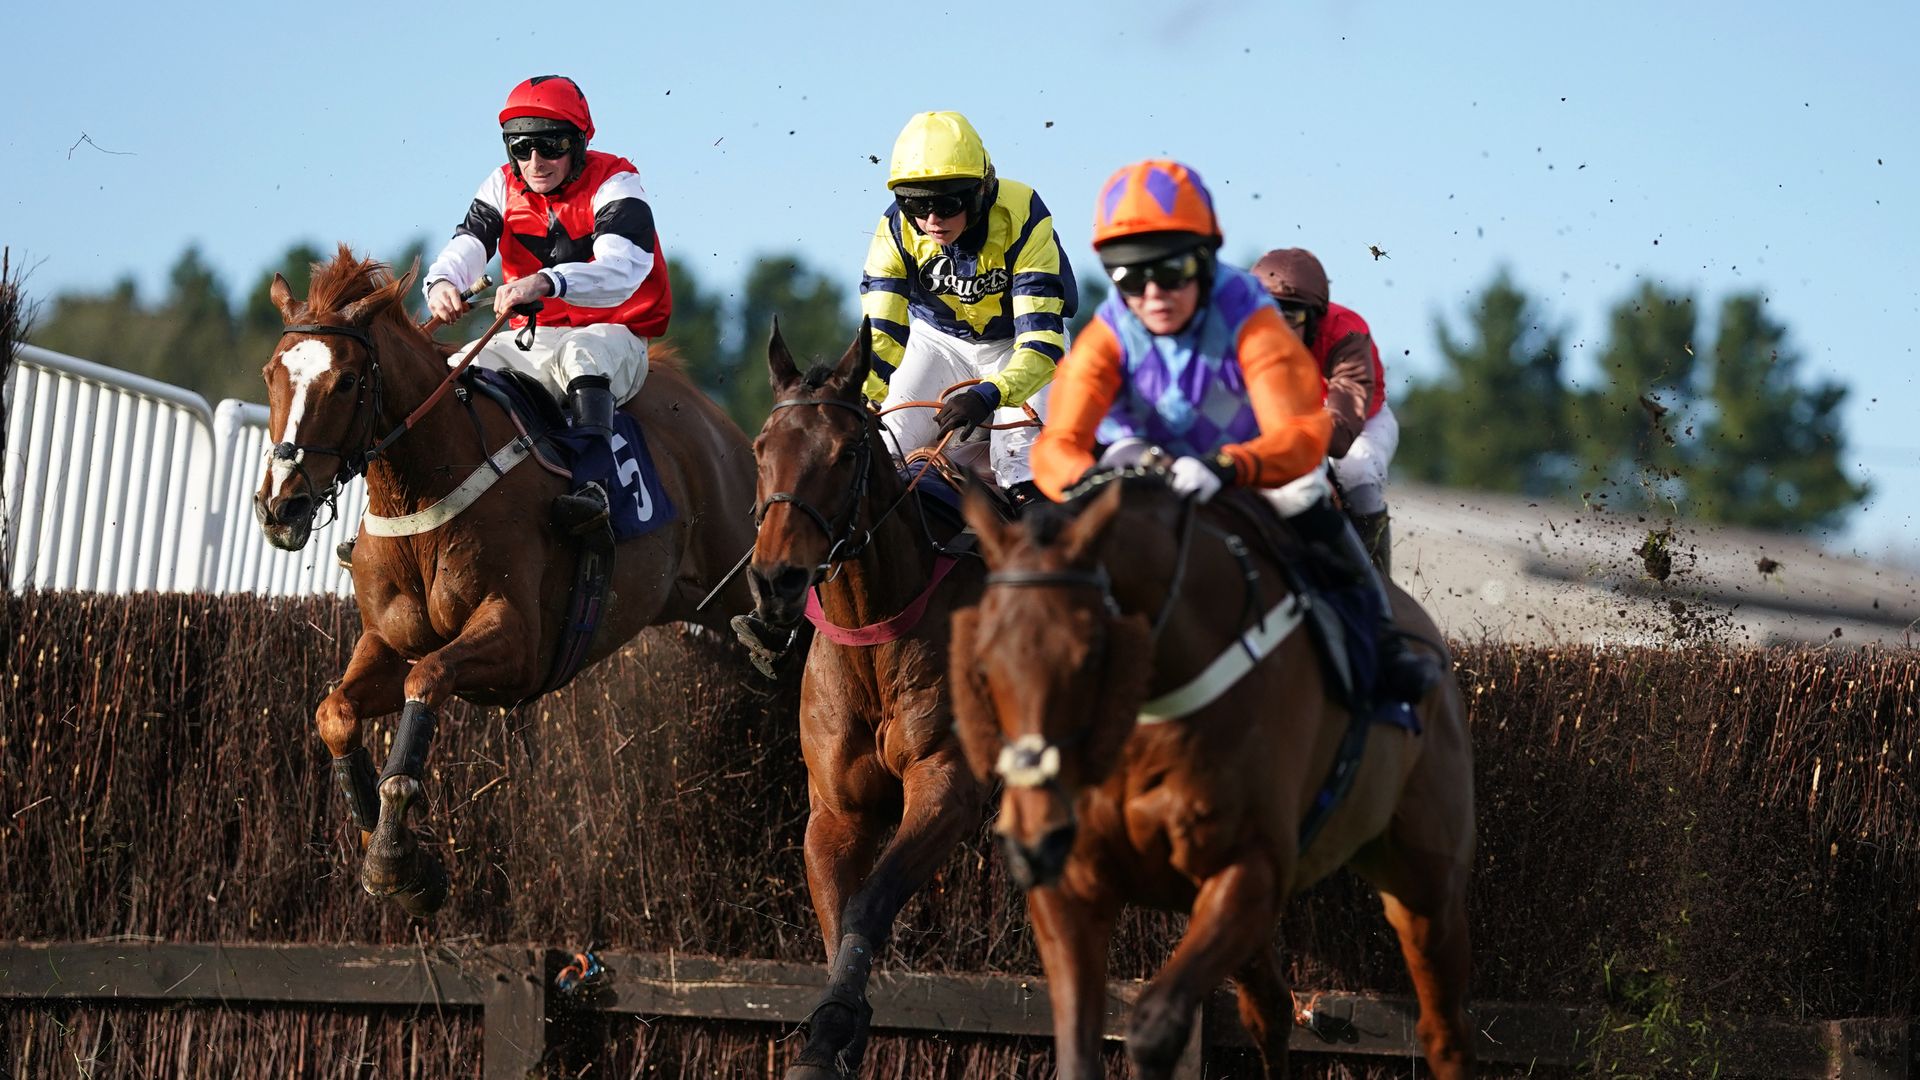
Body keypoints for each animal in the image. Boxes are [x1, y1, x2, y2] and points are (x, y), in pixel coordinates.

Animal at [257, 245, 764, 914]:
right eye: (270, 374)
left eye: (345, 381)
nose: (280, 506)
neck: (427, 492)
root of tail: (712, 416)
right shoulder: (387, 639)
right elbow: (334, 711)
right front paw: (390, 847)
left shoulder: (519, 642)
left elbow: (427, 678)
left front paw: (395, 856)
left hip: (736, 569)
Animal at [744, 320, 990, 1076]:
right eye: (761, 448)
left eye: (847, 451)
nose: (776, 580)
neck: (874, 633)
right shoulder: (836, 811)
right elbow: (835, 921)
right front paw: (831, 1037)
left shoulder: (946, 783)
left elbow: (869, 907)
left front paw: (833, 1033)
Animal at [952, 474, 1474, 1076]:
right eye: (982, 660)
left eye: (1092, 655)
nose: (1033, 841)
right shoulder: (1073, 884)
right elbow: (1078, 1050)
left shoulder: (1249, 869)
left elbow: (1155, 1028)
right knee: (1271, 1008)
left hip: (1425, 884)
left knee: (1443, 1032)